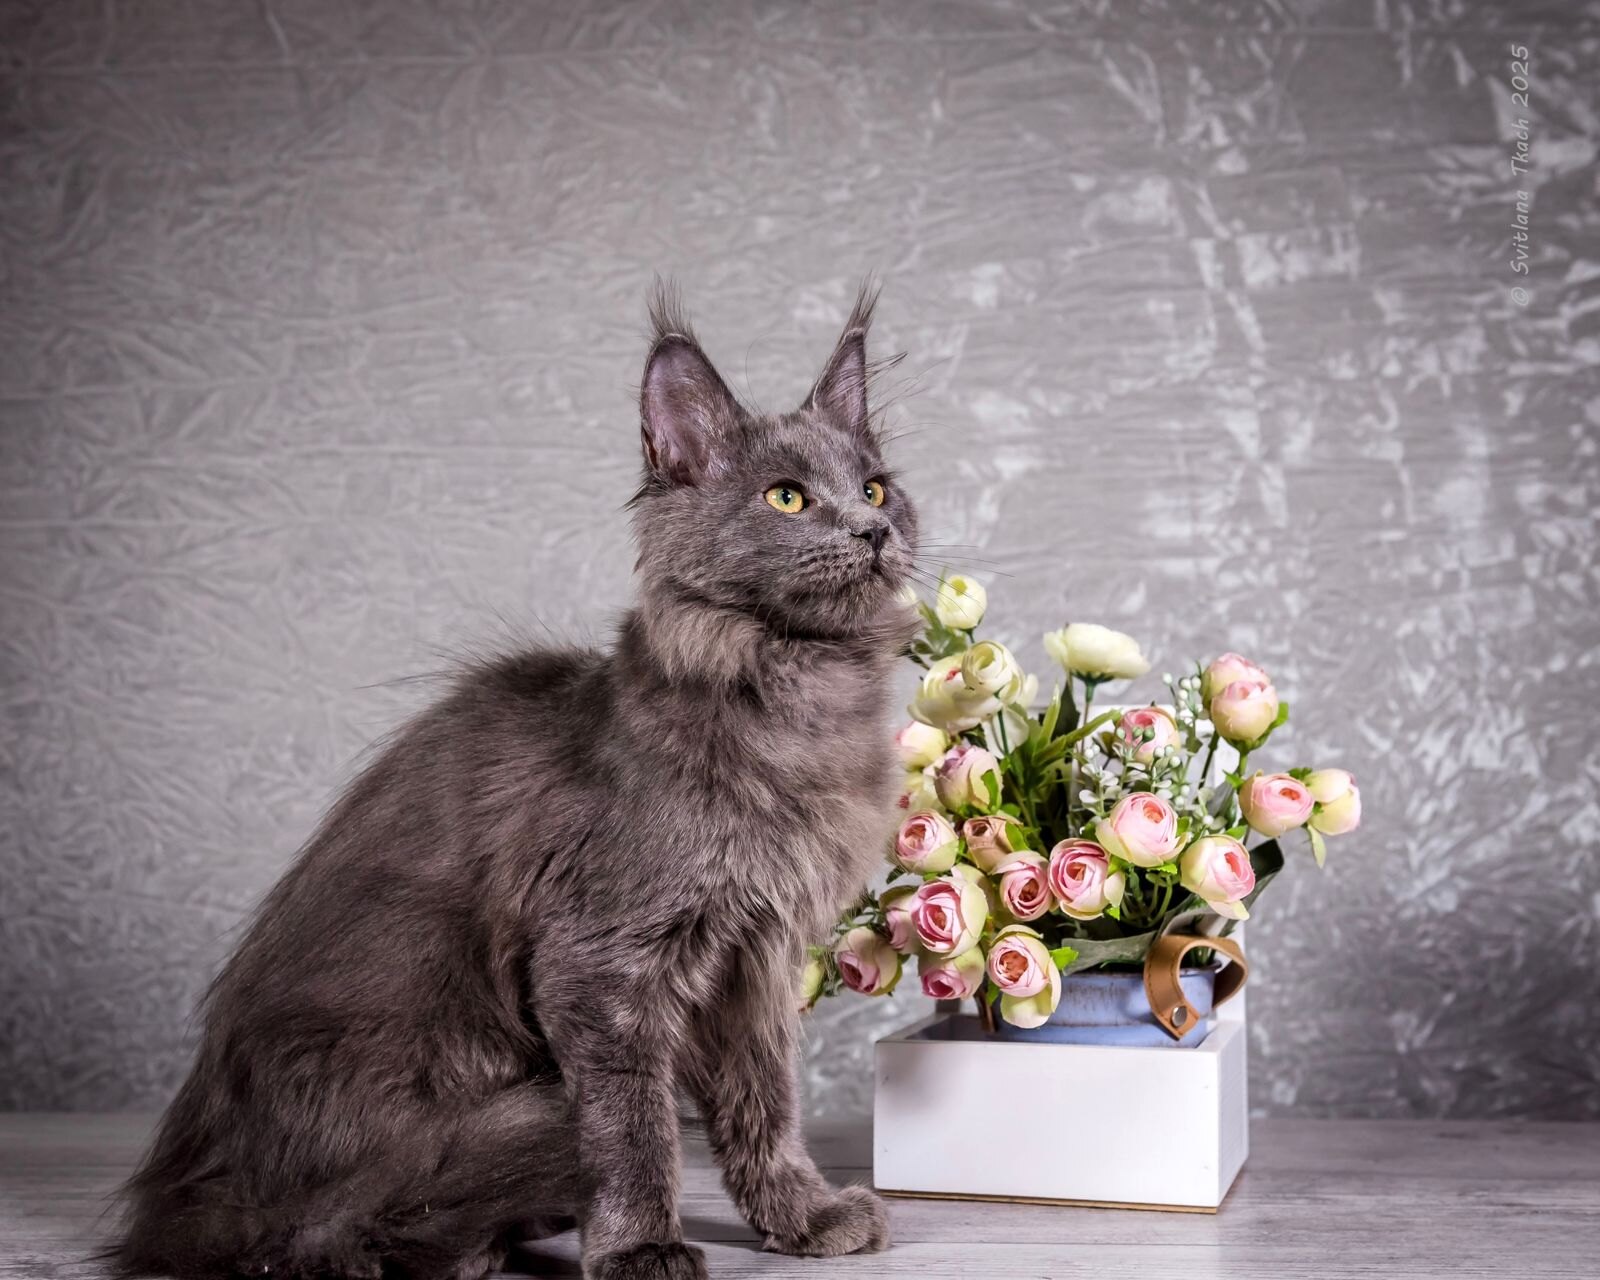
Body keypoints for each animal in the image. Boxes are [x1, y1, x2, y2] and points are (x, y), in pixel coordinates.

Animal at [109, 283, 919, 1280]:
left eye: (876, 487)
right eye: (788, 498)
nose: (873, 530)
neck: (798, 702)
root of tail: (192, 1205)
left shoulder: (754, 962)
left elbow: (764, 1108)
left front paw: (801, 1218)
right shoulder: (602, 960)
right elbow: (630, 1124)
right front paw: (641, 1244)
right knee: (346, 1222)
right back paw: (469, 1243)